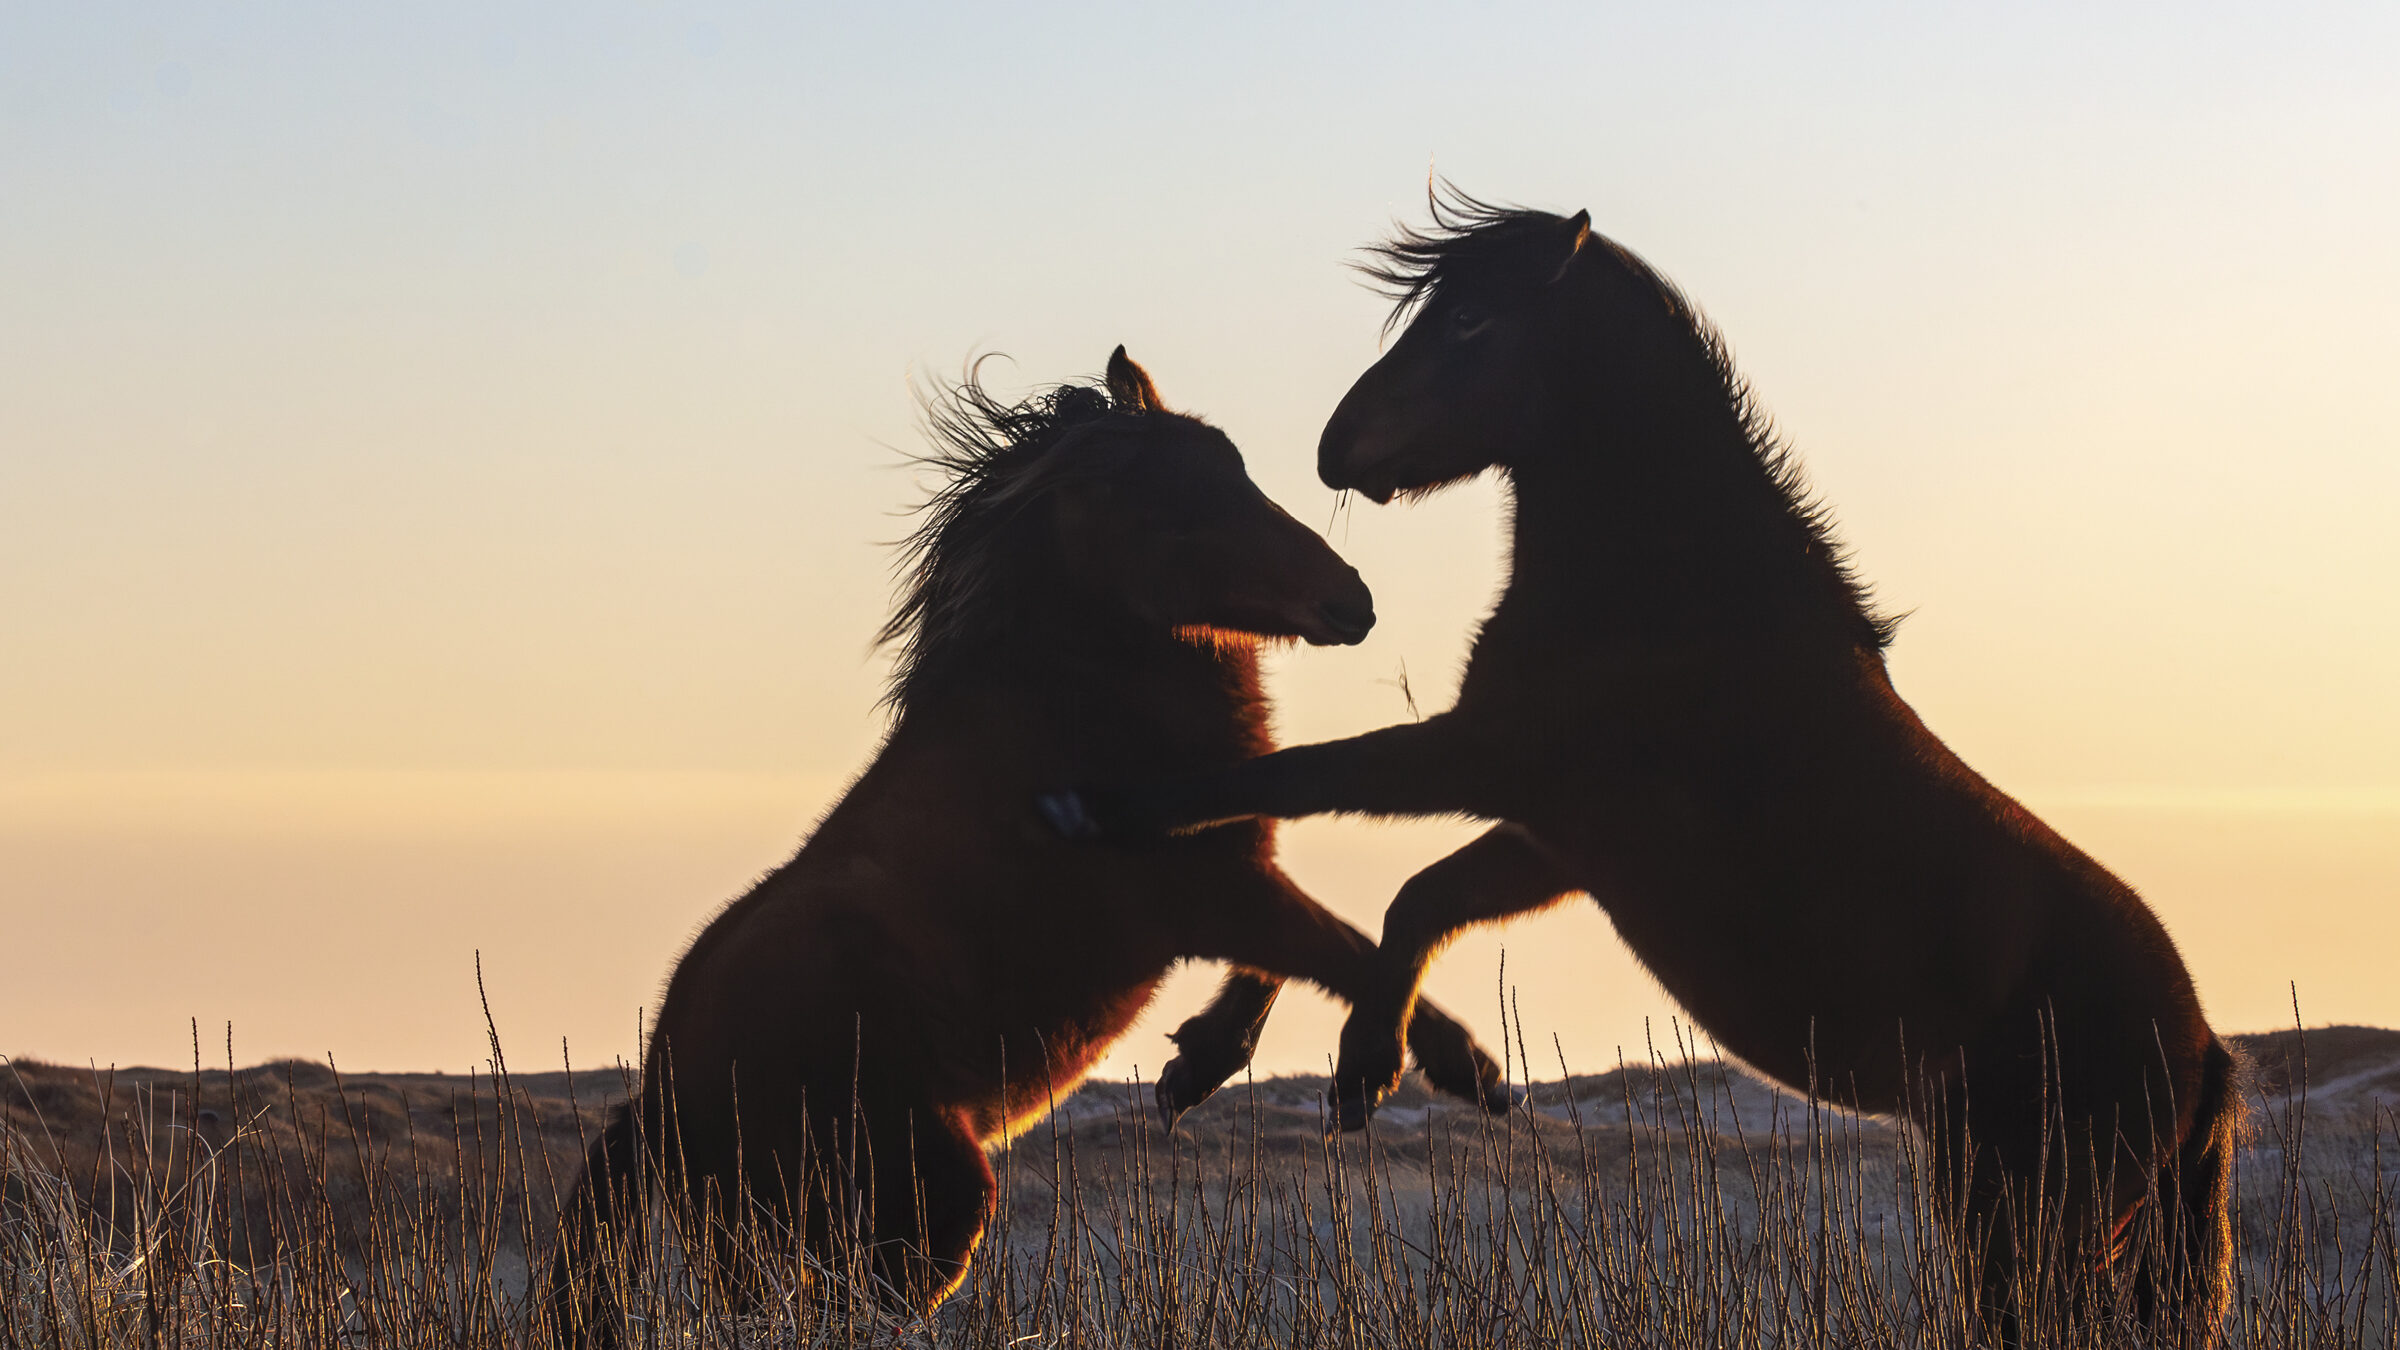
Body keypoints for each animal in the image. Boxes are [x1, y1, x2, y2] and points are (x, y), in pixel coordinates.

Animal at [549, 345, 1507, 1335]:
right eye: (1178, 507)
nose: (1351, 600)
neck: (1070, 709)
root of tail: (660, 1097)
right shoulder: (1213, 892)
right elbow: (1344, 950)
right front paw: (1449, 1070)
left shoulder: (1236, 876)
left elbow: (1292, 965)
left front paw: (1196, 1067)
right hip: (912, 1199)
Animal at [1051, 199, 2246, 1335]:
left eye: (1472, 320)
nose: (1336, 449)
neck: (1673, 592)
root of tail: (2202, 1056)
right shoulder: (1557, 837)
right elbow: (1402, 895)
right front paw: (1287, 1062)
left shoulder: (1487, 758)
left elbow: (1288, 794)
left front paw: (1108, 814)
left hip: (2021, 1227)